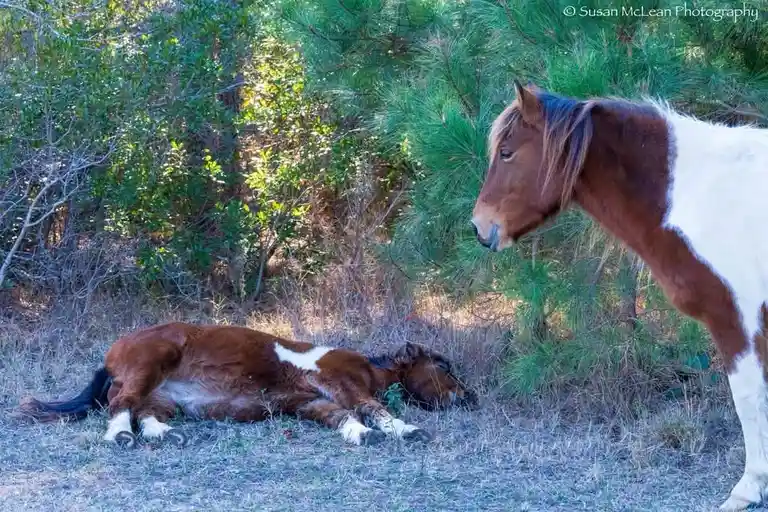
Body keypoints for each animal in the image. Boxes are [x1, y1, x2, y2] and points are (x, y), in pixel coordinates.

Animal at [18, 322, 477, 447]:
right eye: (444, 366)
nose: (471, 397)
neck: (370, 366)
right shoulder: (342, 382)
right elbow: (371, 408)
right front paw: (407, 429)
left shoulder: (309, 403)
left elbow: (342, 417)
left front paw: (360, 435)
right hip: (150, 364)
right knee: (122, 405)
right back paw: (120, 438)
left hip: (162, 396)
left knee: (143, 411)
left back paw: (166, 434)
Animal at [471, 81, 768, 511]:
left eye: (506, 152)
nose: (479, 227)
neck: (700, 193)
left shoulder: (736, 322)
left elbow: (748, 399)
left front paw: (748, 488)